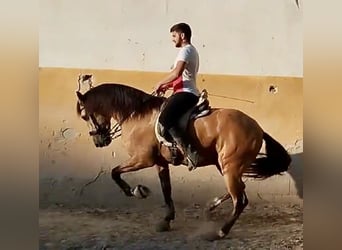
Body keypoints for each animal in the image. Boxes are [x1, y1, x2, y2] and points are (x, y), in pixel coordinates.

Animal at [75, 74, 292, 240]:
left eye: (85, 116)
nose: (99, 142)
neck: (137, 116)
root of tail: (257, 128)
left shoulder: (143, 159)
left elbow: (114, 172)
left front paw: (136, 191)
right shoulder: (160, 163)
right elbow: (166, 190)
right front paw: (166, 220)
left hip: (230, 166)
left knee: (240, 199)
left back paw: (220, 232)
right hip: (224, 164)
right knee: (239, 190)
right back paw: (211, 205)